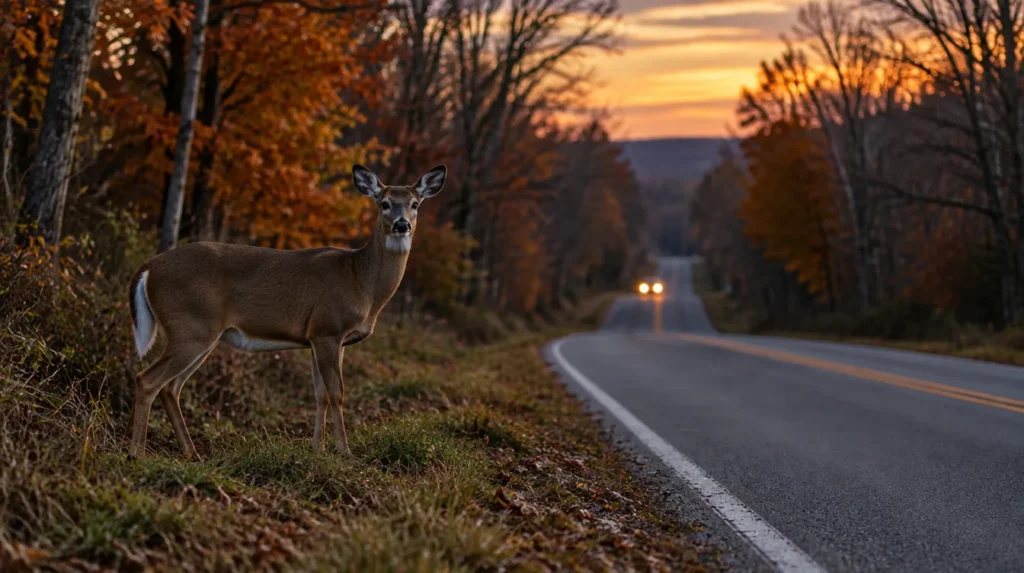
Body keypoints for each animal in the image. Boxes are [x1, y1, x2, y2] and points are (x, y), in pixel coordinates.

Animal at [126, 164, 446, 460]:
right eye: (384, 203)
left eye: (415, 203)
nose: (402, 225)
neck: (361, 281)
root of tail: (148, 269)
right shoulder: (328, 329)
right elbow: (337, 393)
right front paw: (344, 451)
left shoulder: (321, 338)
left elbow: (320, 395)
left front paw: (317, 448)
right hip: (190, 327)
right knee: (147, 380)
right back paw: (137, 453)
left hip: (202, 334)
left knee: (171, 388)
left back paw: (191, 453)